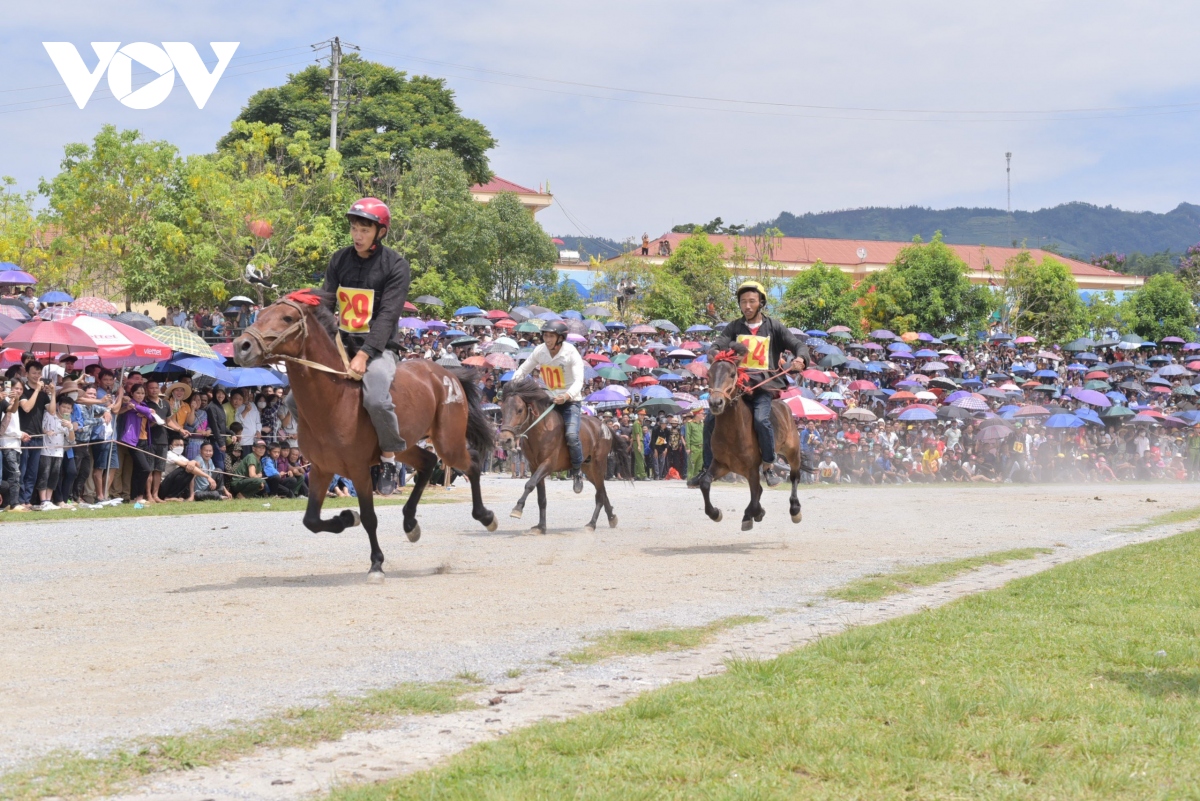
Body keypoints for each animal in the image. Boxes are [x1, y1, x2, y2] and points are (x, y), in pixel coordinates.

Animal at [234, 291, 496, 577]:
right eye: (259, 314)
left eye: (287, 318)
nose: (241, 346)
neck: (334, 398)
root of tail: (448, 374)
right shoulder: (322, 468)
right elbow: (311, 520)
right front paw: (346, 518)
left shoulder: (359, 470)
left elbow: (369, 518)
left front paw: (377, 563)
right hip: (404, 445)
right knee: (428, 462)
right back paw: (410, 523)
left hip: (447, 442)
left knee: (471, 463)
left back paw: (485, 517)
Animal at [496, 378, 619, 534]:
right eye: (502, 410)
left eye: (519, 410)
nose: (504, 440)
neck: (542, 430)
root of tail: (604, 426)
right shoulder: (534, 466)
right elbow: (541, 497)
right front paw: (541, 527)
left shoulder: (548, 464)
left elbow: (529, 484)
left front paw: (517, 509)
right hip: (588, 468)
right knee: (602, 490)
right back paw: (612, 517)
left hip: (598, 465)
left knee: (600, 494)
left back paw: (592, 524)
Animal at [696, 345, 806, 532]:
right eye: (709, 374)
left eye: (732, 374)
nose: (716, 403)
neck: (733, 433)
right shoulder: (721, 464)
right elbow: (704, 483)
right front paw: (715, 513)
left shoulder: (752, 469)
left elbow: (755, 497)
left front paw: (754, 514)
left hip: (792, 452)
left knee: (794, 477)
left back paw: (795, 509)